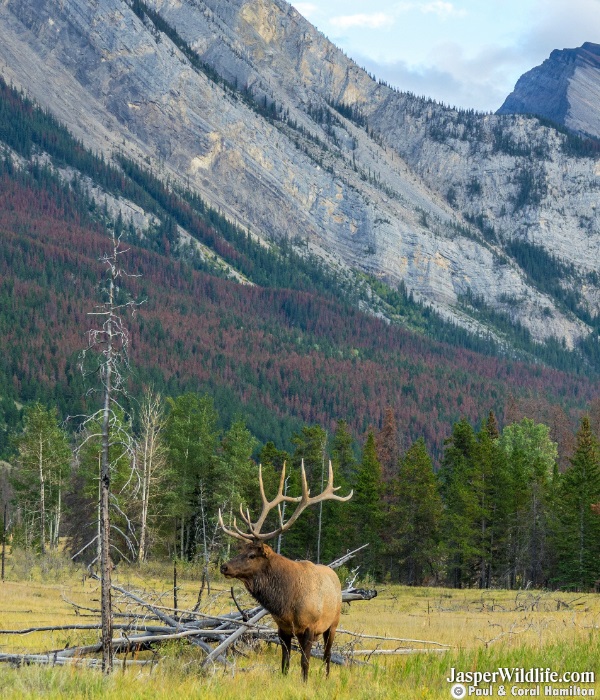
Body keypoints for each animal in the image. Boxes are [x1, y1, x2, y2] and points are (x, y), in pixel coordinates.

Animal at [220, 460, 352, 680]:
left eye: (252, 555)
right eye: (241, 550)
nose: (224, 566)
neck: (286, 603)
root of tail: (334, 575)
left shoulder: (309, 628)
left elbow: (305, 664)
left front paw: (305, 683)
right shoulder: (282, 628)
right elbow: (285, 664)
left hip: (333, 623)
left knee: (327, 655)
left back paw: (326, 677)